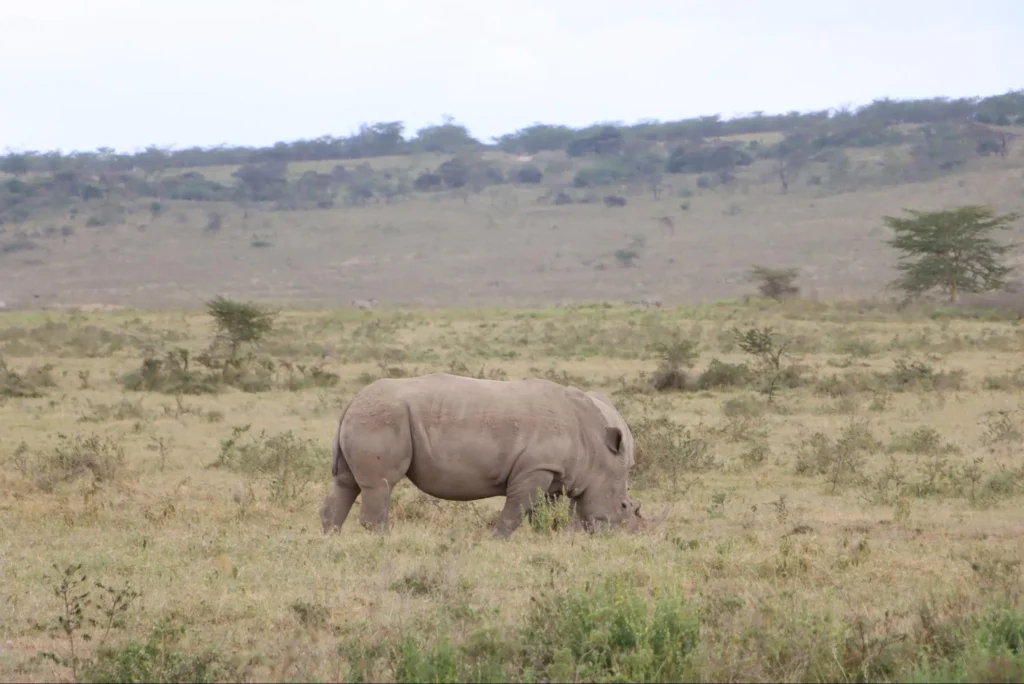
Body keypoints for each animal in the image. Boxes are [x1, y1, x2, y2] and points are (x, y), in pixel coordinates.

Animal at [321, 374, 671, 540]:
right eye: (624, 506)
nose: (624, 539)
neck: (595, 449)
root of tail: (351, 402)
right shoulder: (535, 468)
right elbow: (516, 509)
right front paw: (497, 540)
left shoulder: (555, 473)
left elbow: (543, 512)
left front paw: (549, 535)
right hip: (382, 418)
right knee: (380, 485)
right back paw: (383, 542)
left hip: (367, 417)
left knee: (347, 483)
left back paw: (331, 539)